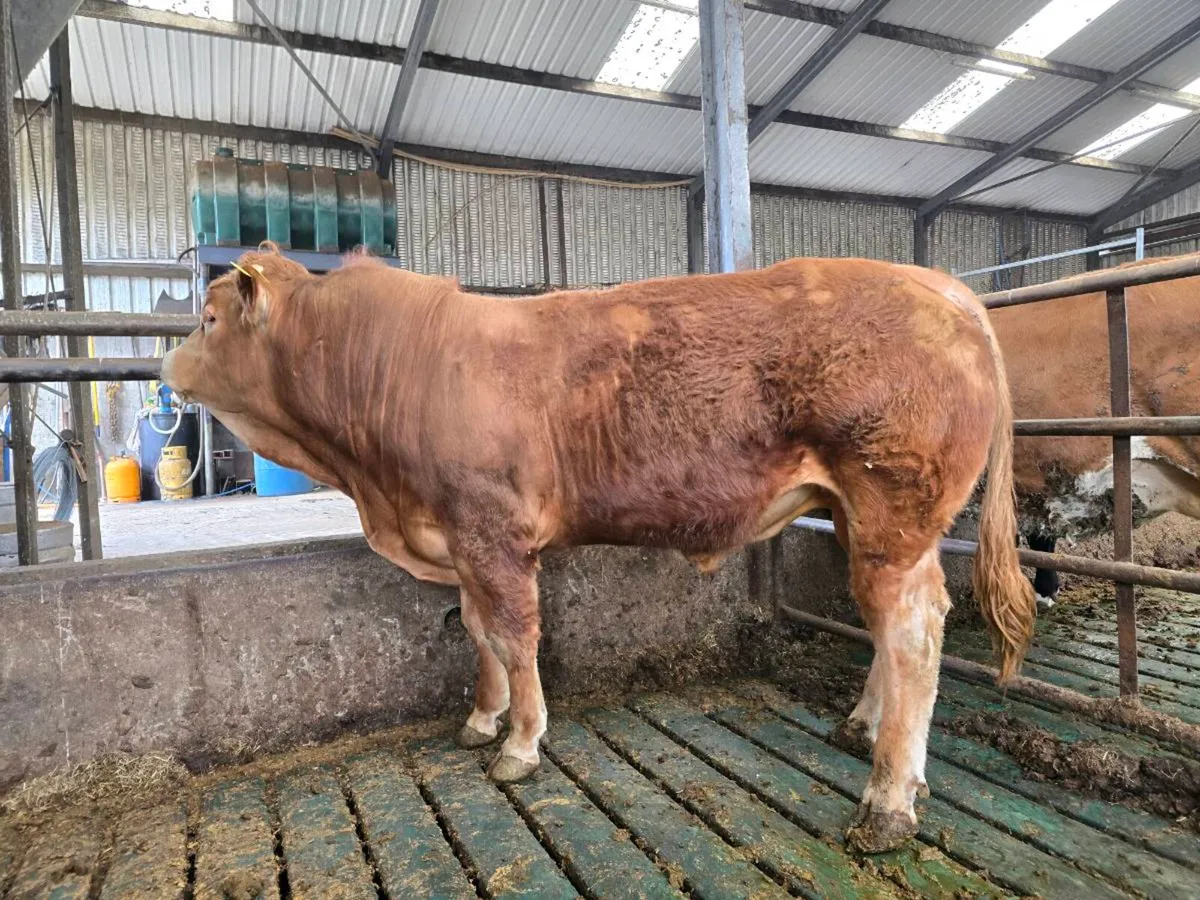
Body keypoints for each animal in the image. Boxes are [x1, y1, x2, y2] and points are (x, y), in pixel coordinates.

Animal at [161, 245, 1035, 854]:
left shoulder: (494, 532)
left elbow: (516, 637)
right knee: (895, 628)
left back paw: (888, 801)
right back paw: (862, 726)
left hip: (891, 511)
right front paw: (481, 718)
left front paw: (520, 744)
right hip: (862, 519)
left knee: (913, 632)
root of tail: (940, 285)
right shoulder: (462, 538)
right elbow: (479, 633)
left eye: (209, 319)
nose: (164, 366)